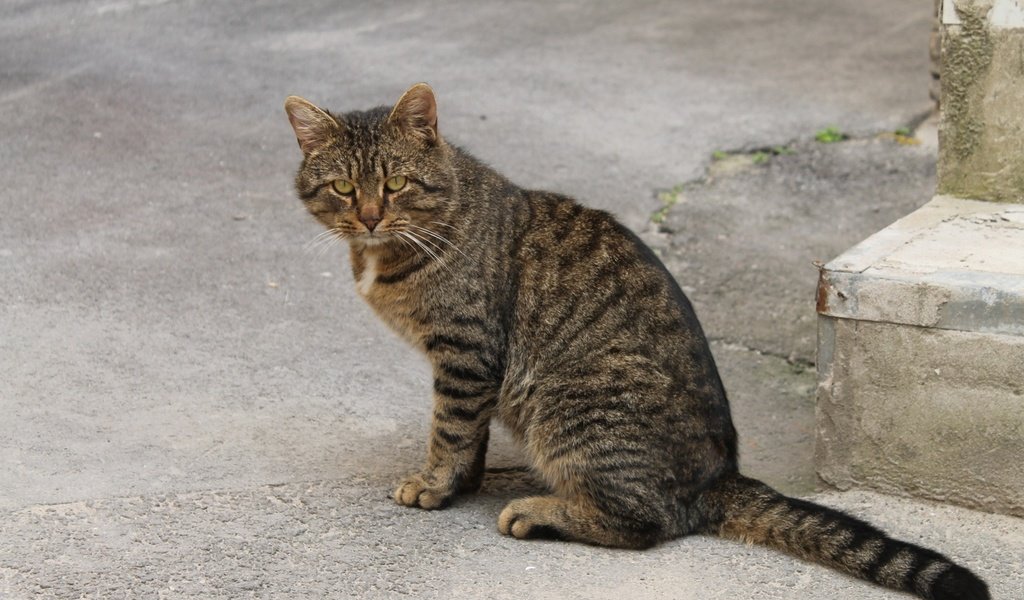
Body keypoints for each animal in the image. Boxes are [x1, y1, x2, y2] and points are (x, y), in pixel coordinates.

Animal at [284, 83, 987, 597]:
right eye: (344, 187)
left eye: (395, 184)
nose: (368, 216)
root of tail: (721, 476)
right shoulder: (472, 367)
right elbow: (469, 434)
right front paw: (465, 480)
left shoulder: (467, 351)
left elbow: (450, 430)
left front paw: (435, 484)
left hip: (570, 402)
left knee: (645, 524)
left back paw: (539, 509)